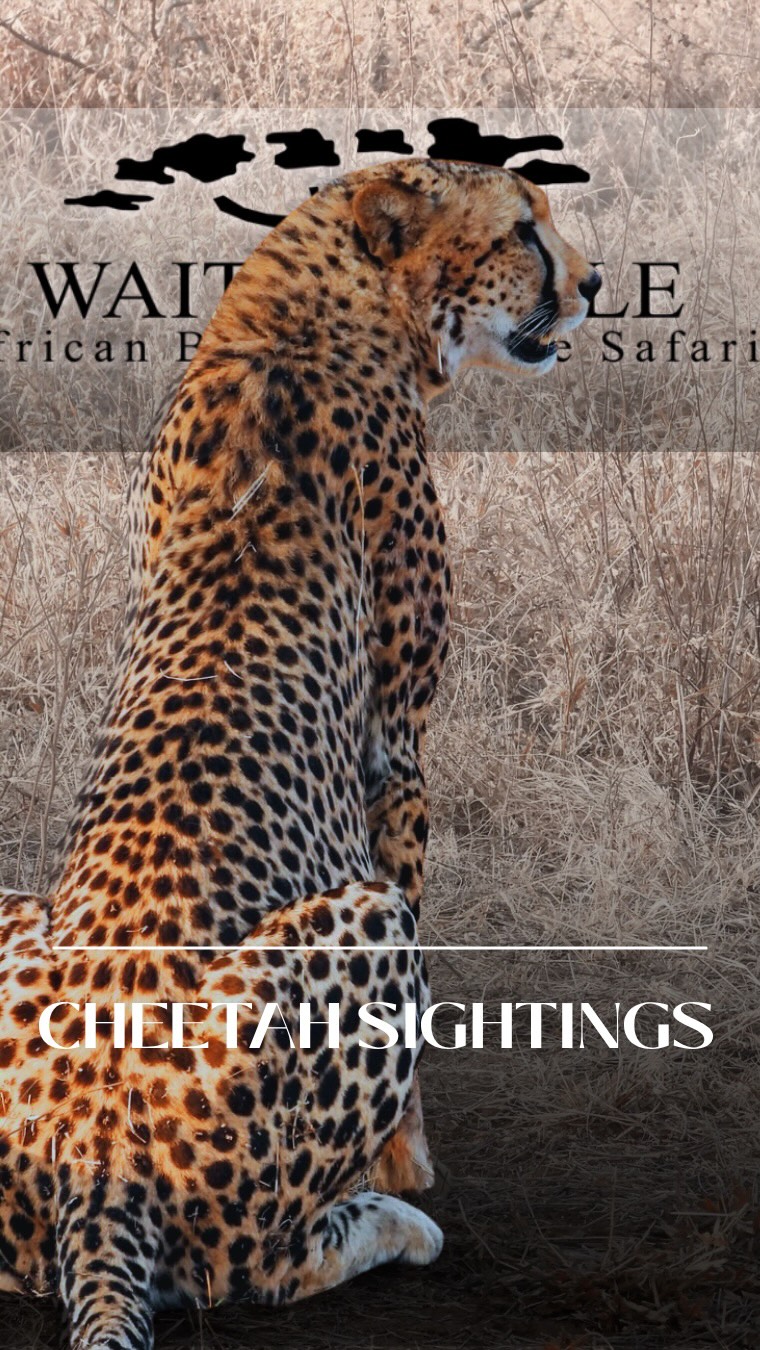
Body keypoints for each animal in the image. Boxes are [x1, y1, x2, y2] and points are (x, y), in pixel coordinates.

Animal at [0, 156, 599, 1349]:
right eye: (524, 228)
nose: (596, 283)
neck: (305, 311)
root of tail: (89, 1150)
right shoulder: (397, 743)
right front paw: (405, 1163)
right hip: (368, 924)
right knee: (249, 1265)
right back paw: (390, 1225)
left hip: (11, 918)